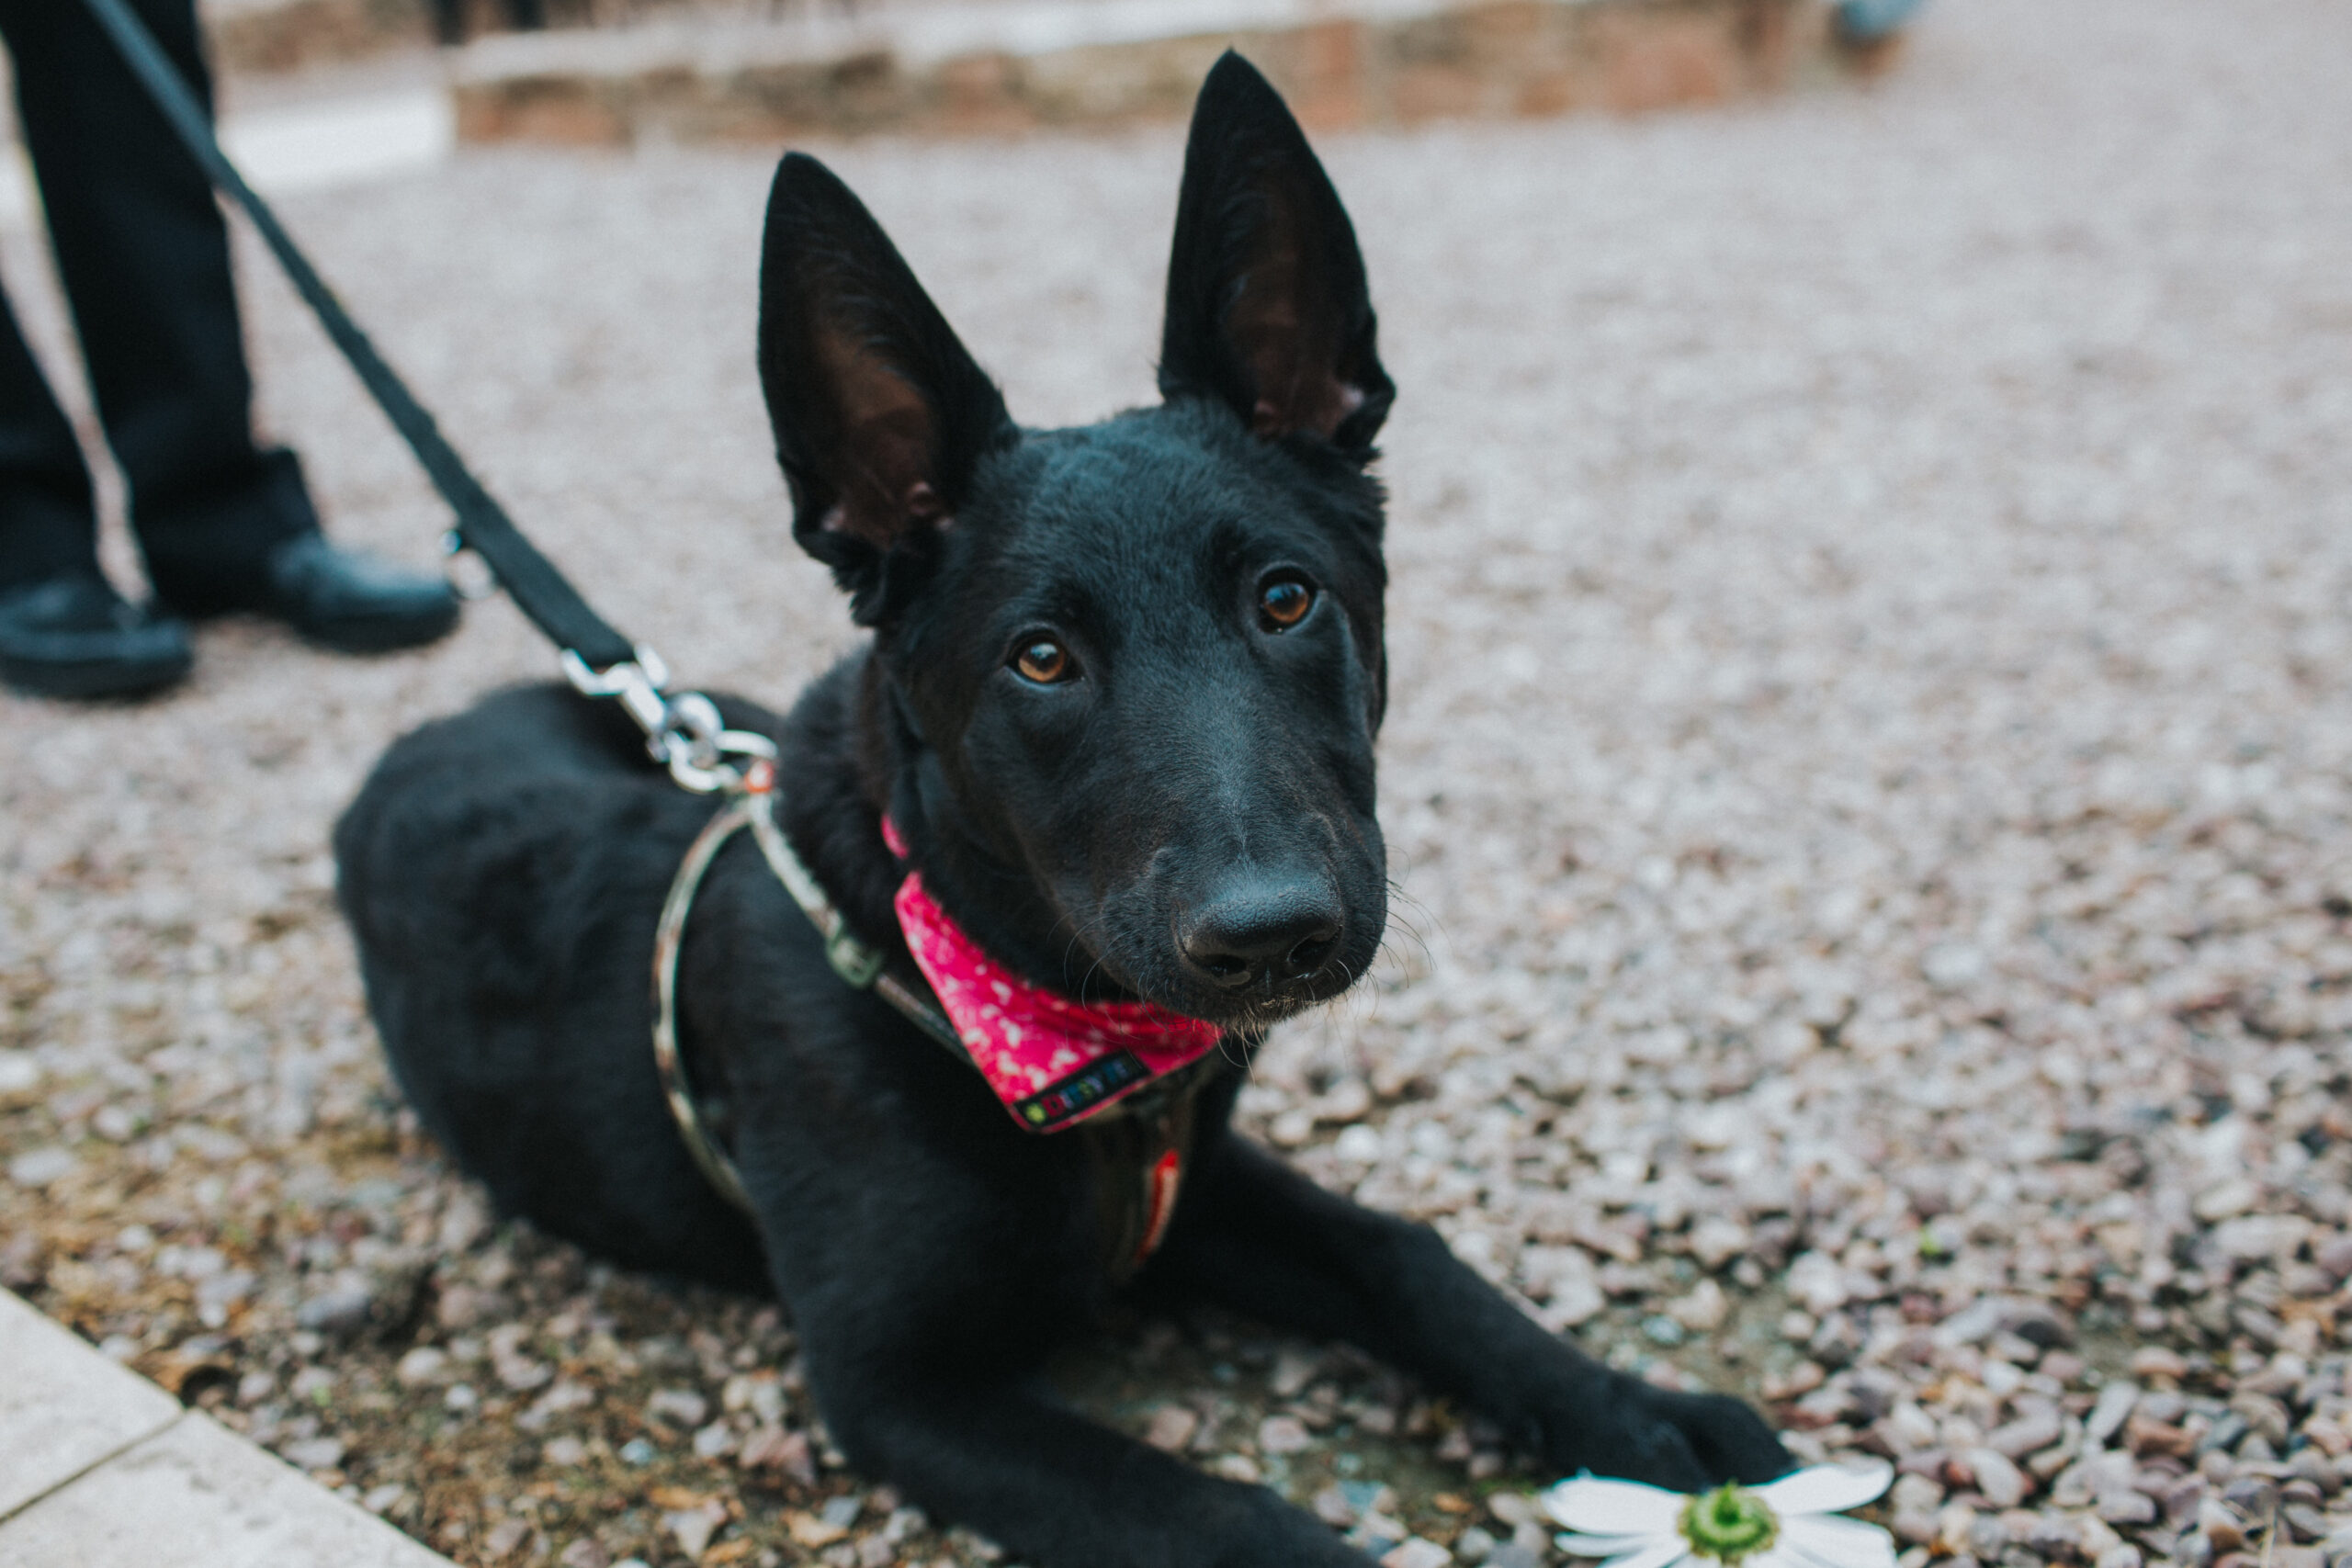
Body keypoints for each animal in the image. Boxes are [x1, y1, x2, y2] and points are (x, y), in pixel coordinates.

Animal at [336, 51, 1778, 1568]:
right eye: (1040, 658)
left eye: (1285, 596)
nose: (1271, 934)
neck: (1000, 1000)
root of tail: (442, 719)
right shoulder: (901, 1388)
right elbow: (1224, 1514)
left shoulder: (1195, 1195)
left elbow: (1408, 1252)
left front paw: (1641, 1413)